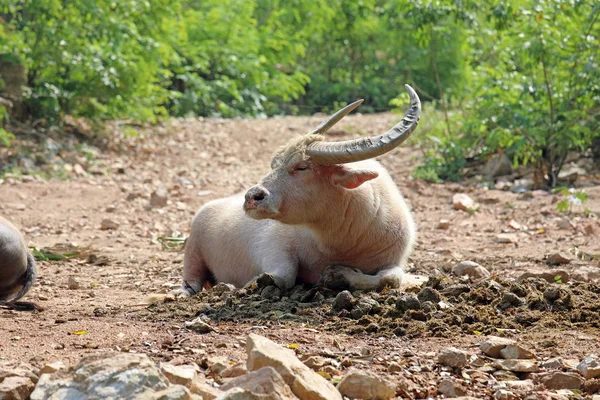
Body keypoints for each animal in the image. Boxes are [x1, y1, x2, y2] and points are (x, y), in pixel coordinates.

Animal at [171, 85, 420, 296]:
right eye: (274, 164)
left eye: (302, 167)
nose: (252, 198)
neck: (340, 245)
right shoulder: (273, 247)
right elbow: (284, 275)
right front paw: (256, 281)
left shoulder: (393, 260)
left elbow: (391, 278)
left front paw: (338, 275)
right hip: (193, 250)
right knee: (192, 281)